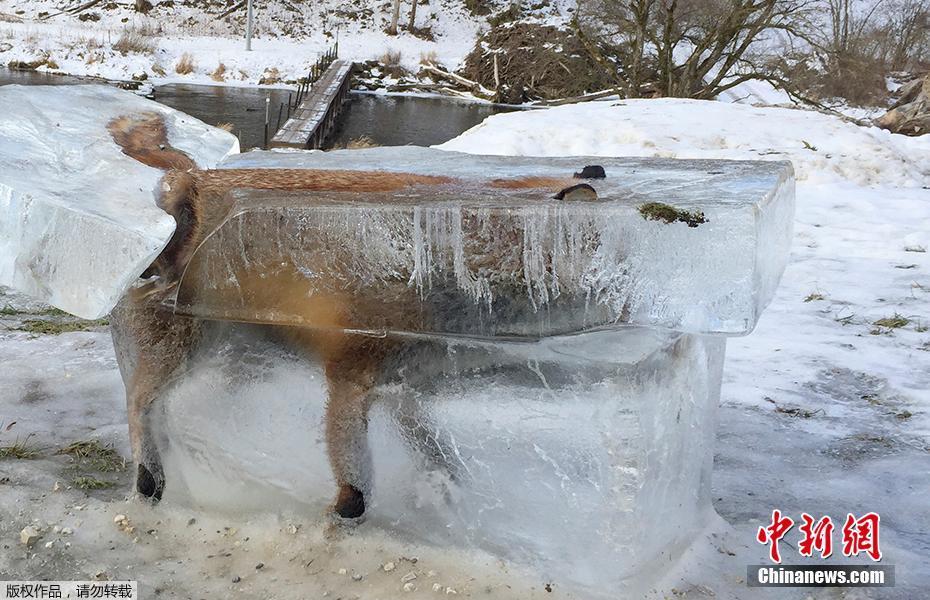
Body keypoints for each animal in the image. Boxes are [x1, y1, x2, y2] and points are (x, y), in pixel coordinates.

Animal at [109, 112, 600, 520]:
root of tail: (194, 178)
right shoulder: (352, 371)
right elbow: (355, 481)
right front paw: (346, 516)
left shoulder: (406, 384)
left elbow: (437, 452)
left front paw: (445, 492)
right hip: (184, 347)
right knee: (140, 402)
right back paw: (150, 478)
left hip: (236, 357)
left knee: (176, 407)